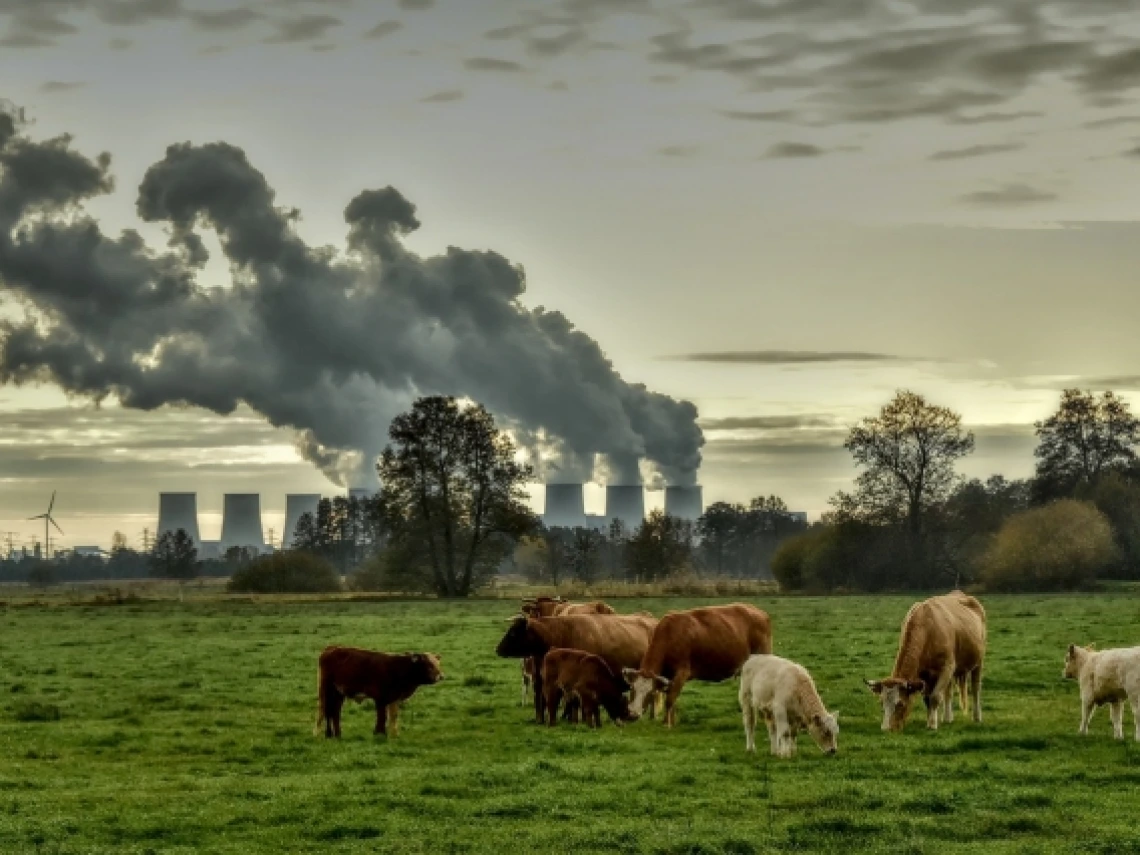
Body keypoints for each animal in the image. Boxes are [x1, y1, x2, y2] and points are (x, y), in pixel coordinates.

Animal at [624, 601, 775, 729]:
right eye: (632, 689)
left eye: (649, 693)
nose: (634, 714)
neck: (669, 634)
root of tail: (758, 611)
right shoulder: (669, 677)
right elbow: (672, 698)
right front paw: (671, 721)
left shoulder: (682, 672)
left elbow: (670, 699)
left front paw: (667, 724)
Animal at [857, 592, 984, 734]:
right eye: (881, 703)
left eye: (900, 704)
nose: (886, 729)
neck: (927, 628)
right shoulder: (925, 675)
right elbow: (927, 699)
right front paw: (929, 721)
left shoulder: (947, 667)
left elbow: (935, 697)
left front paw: (932, 724)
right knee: (948, 692)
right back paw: (947, 718)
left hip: (978, 661)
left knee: (976, 688)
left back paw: (977, 717)